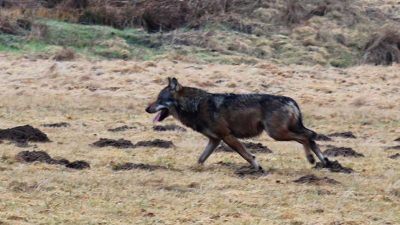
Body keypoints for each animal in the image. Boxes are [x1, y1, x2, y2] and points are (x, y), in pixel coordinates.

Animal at [145, 78, 330, 171]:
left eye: (159, 99)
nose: (146, 109)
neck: (196, 105)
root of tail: (291, 100)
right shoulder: (215, 140)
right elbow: (201, 158)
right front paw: (194, 168)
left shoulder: (227, 136)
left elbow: (247, 155)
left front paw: (258, 168)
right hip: (283, 132)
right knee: (311, 136)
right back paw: (325, 162)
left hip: (277, 134)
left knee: (306, 137)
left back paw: (312, 159)